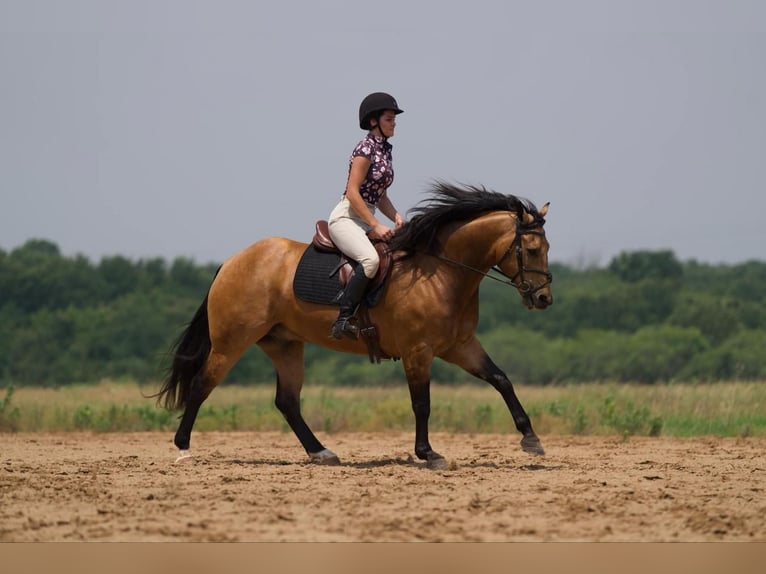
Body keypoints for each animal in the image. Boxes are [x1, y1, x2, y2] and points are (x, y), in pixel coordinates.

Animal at [154, 182, 552, 470]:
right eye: (532, 249)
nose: (544, 298)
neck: (441, 272)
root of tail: (232, 261)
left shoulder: (460, 345)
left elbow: (500, 379)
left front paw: (531, 438)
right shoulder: (418, 351)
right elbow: (421, 403)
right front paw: (429, 454)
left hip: (284, 344)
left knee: (287, 401)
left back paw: (322, 453)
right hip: (231, 342)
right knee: (202, 385)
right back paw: (183, 449)